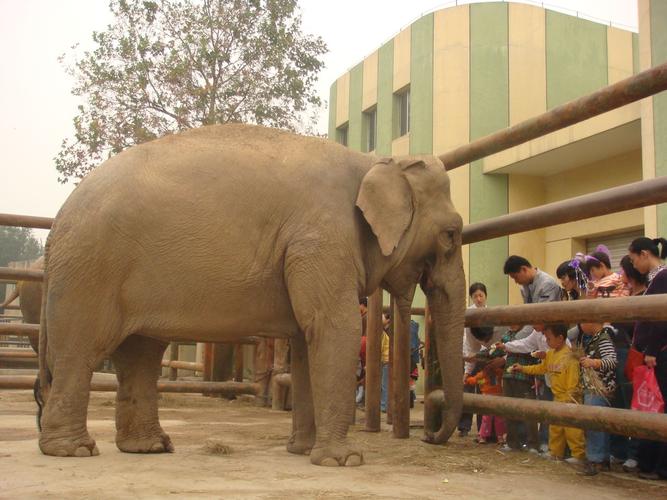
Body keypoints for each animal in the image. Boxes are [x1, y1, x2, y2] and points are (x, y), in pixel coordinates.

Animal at [36, 124, 464, 464]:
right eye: (452, 234)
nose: (430, 435)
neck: (375, 161)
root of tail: (56, 224)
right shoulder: (320, 240)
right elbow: (334, 327)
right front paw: (343, 460)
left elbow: (307, 341)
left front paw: (302, 452)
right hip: (90, 271)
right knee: (81, 350)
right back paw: (74, 451)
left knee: (140, 354)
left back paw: (149, 447)